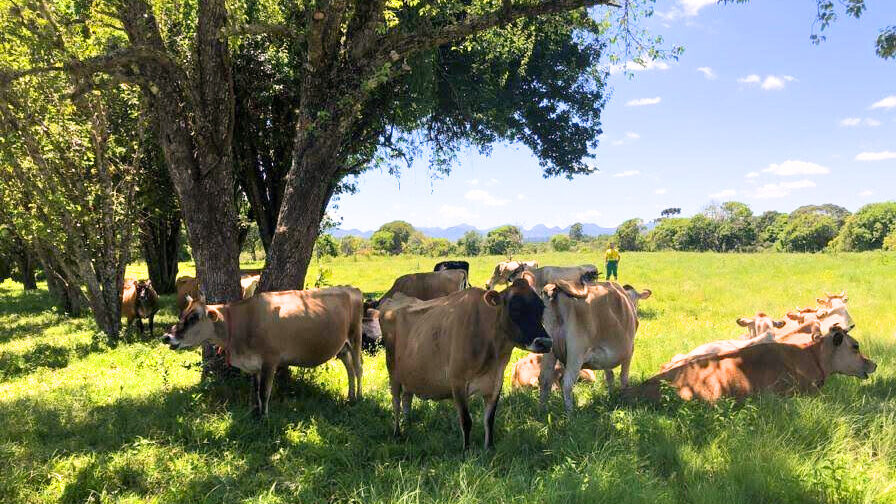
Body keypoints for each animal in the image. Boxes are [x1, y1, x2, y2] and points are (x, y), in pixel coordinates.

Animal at [161, 286, 364, 416]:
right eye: (182, 315)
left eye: (194, 317)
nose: (166, 337)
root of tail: (351, 289)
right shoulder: (254, 365)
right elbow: (256, 389)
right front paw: (256, 411)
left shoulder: (270, 361)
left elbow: (264, 392)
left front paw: (264, 418)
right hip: (342, 346)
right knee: (349, 369)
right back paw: (350, 397)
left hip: (355, 338)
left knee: (358, 368)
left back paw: (359, 398)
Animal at [384, 279, 552, 450]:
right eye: (515, 309)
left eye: (541, 309)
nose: (545, 342)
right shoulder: (457, 382)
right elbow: (466, 420)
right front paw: (466, 450)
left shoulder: (496, 382)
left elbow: (489, 419)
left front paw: (489, 447)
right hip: (392, 371)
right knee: (396, 402)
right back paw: (397, 432)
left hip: (409, 374)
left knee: (406, 398)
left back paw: (408, 425)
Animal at [538, 280, 638, 412]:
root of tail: (556, 287)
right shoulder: (629, 352)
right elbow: (624, 377)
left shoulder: (605, 357)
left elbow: (609, 375)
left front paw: (612, 396)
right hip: (576, 353)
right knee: (567, 383)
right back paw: (570, 413)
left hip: (548, 349)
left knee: (544, 378)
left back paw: (542, 410)